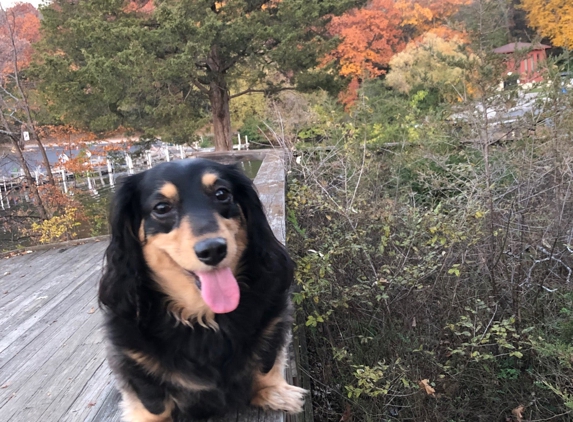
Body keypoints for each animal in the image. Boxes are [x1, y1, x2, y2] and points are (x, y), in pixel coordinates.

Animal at [99, 159, 304, 422]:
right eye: (161, 207)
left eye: (222, 194)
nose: (213, 250)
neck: (206, 316)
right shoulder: (131, 357)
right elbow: (153, 400)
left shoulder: (274, 322)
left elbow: (266, 364)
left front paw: (272, 391)